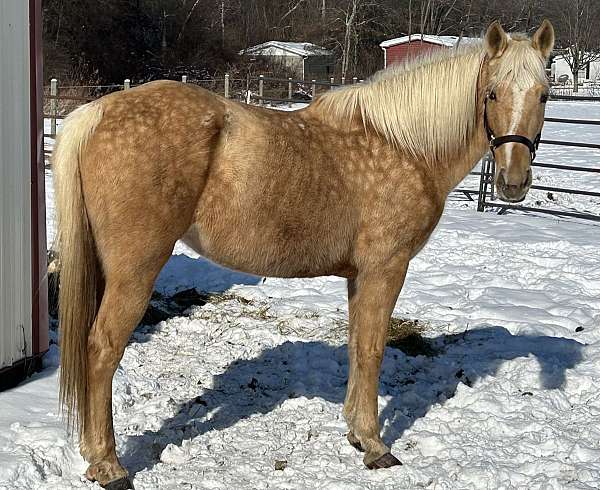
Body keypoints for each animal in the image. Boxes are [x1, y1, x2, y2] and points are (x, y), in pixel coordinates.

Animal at [55, 20, 552, 490]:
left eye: (544, 94)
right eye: (492, 93)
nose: (512, 182)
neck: (404, 145)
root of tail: (97, 111)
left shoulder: (359, 275)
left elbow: (356, 345)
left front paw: (356, 434)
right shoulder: (386, 268)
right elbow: (372, 348)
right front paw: (376, 446)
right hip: (135, 270)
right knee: (102, 348)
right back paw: (109, 465)